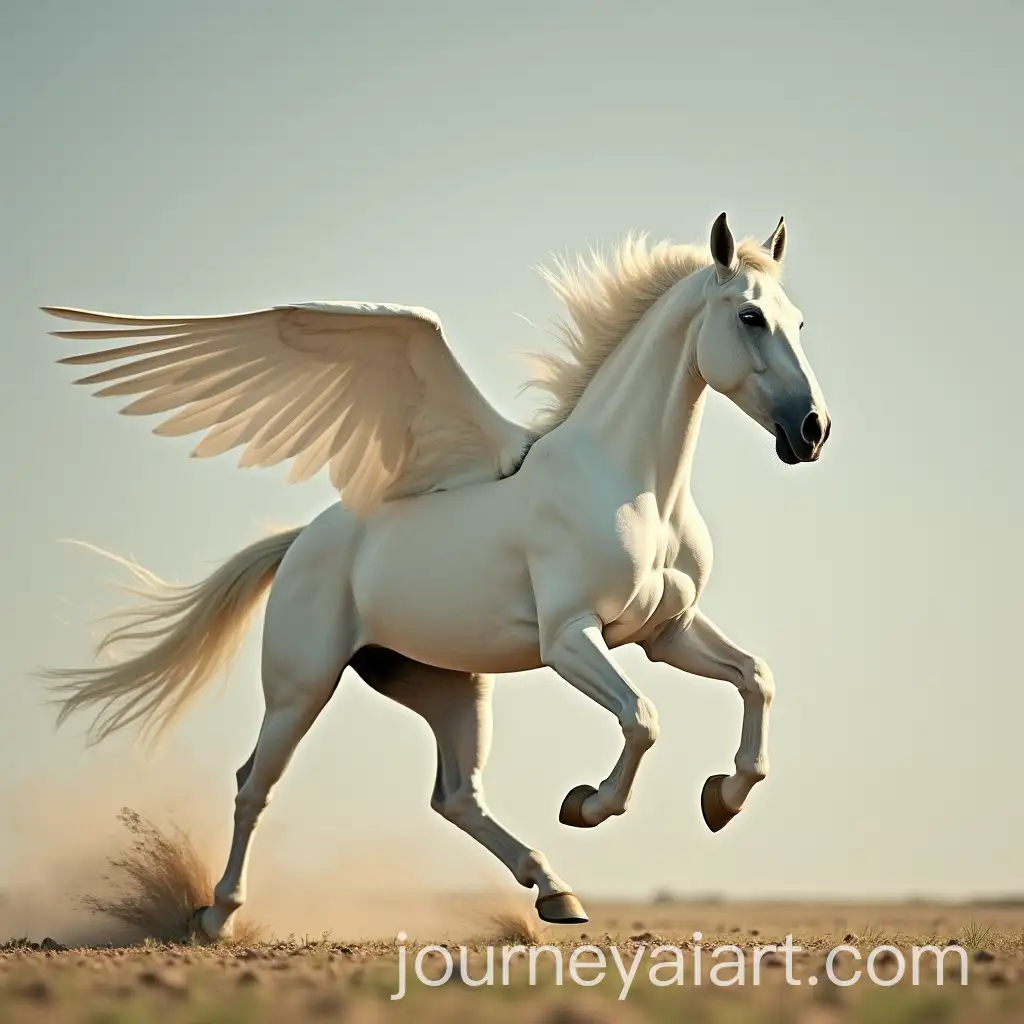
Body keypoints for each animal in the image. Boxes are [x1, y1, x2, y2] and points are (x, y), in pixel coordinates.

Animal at [38, 212, 830, 939]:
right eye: (751, 316)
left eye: (797, 320)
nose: (813, 431)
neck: (633, 486)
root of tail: (301, 543)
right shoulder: (571, 637)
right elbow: (643, 718)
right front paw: (589, 804)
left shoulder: (667, 632)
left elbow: (755, 678)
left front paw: (723, 798)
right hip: (301, 685)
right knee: (254, 783)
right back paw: (218, 916)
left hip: (445, 685)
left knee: (455, 796)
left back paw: (556, 893)